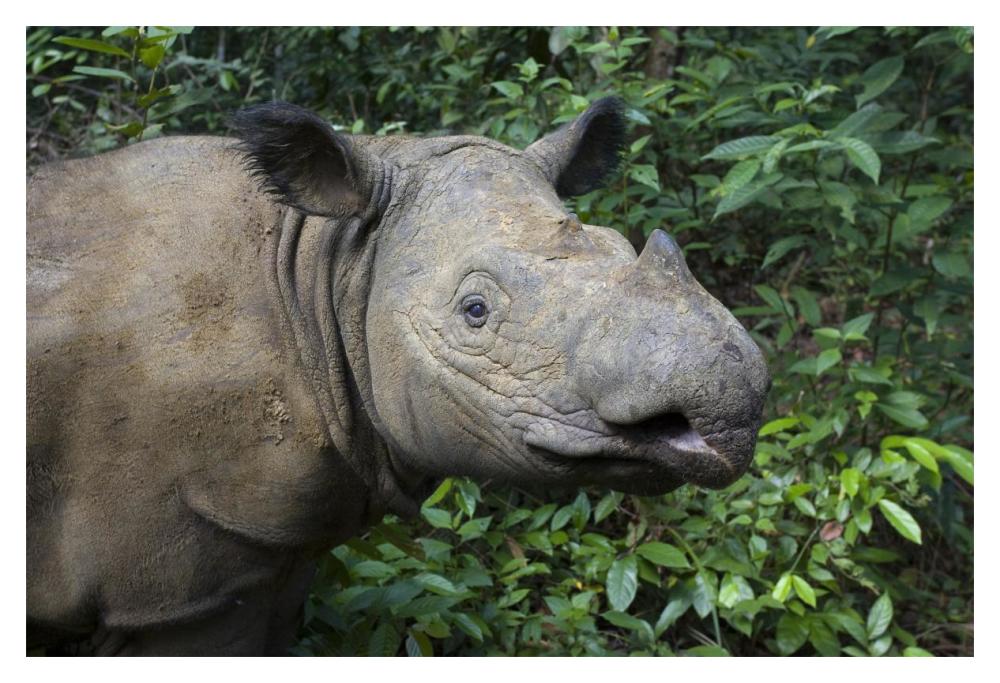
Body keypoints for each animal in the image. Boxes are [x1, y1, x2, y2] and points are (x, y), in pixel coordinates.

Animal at [27, 97, 769, 655]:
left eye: (621, 247)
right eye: (474, 311)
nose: (729, 405)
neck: (327, 264)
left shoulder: (276, 542)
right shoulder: (182, 588)